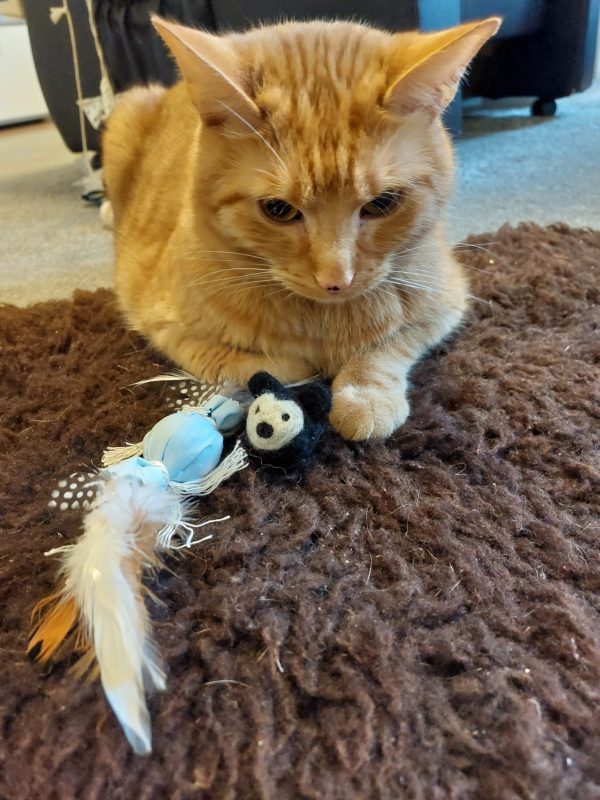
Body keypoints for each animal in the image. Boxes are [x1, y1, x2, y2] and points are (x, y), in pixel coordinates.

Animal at [102, 15, 500, 440]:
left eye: (382, 204)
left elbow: (391, 345)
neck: (323, 322)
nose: (336, 279)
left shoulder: (445, 301)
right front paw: (295, 369)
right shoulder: (162, 324)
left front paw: (365, 394)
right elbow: (245, 362)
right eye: (278, 209)